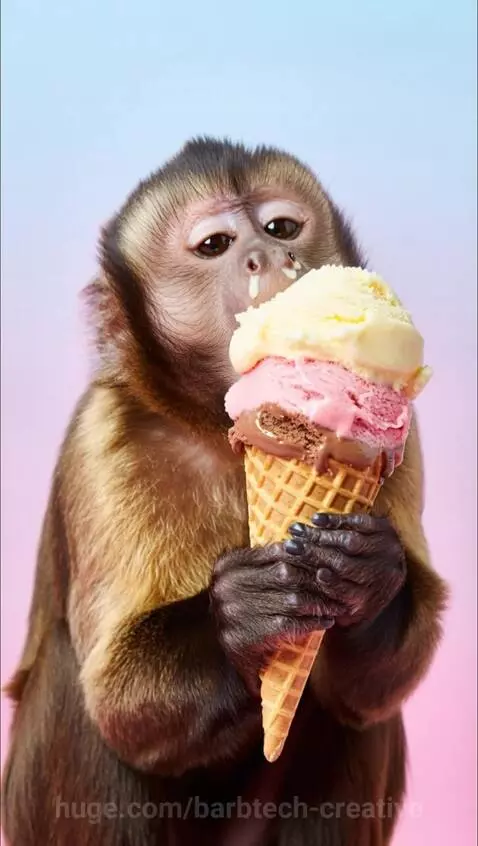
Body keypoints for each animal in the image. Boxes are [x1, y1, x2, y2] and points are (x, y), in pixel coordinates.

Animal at [1, 137, 448, 846]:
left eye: (282, 227)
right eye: (216, 244)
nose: (268, 255)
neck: (223, 424)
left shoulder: (399, 432)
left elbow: (376, 687)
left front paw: (368, 577)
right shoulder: (107, 439)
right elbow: (121, 704)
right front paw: (243, 615)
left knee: (347, 715)